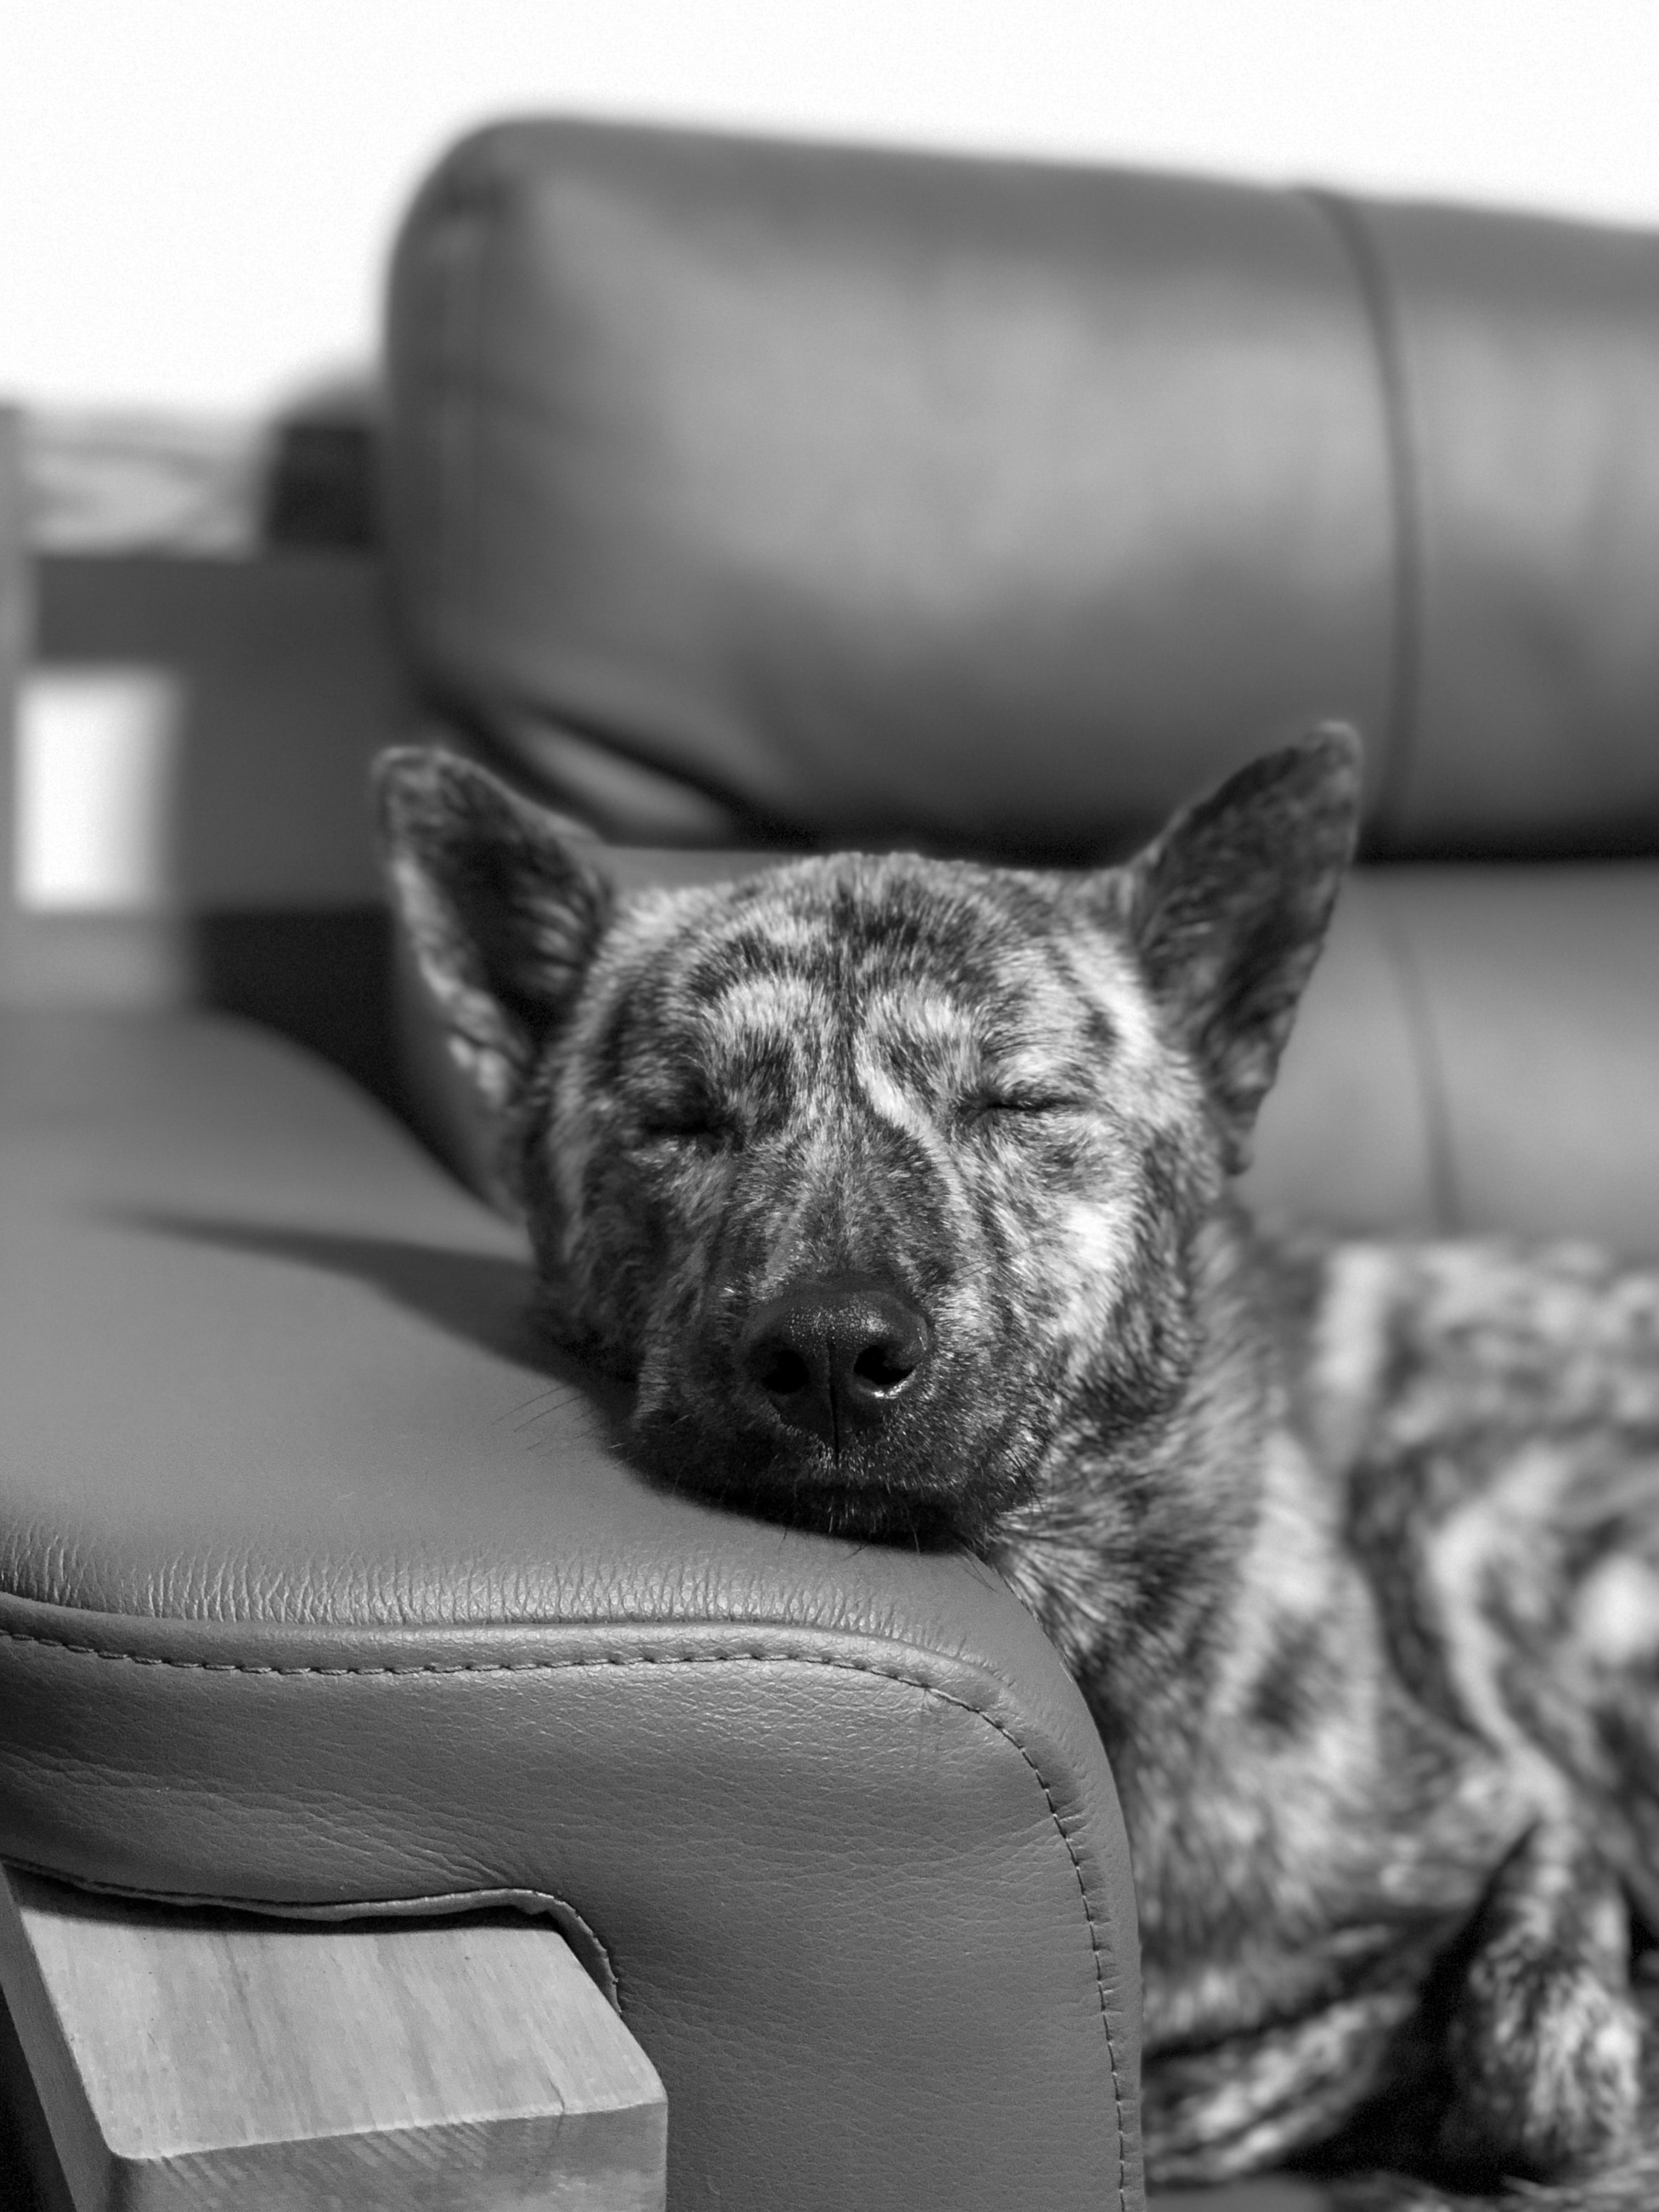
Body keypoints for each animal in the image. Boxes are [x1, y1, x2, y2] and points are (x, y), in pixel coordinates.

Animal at [378, 730, 1659, 2209]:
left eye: (1021, 1102)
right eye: (682, 1121)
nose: (832, 1350)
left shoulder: (1521, 1824)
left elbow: (1526, 2051)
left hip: (1458, 1509)